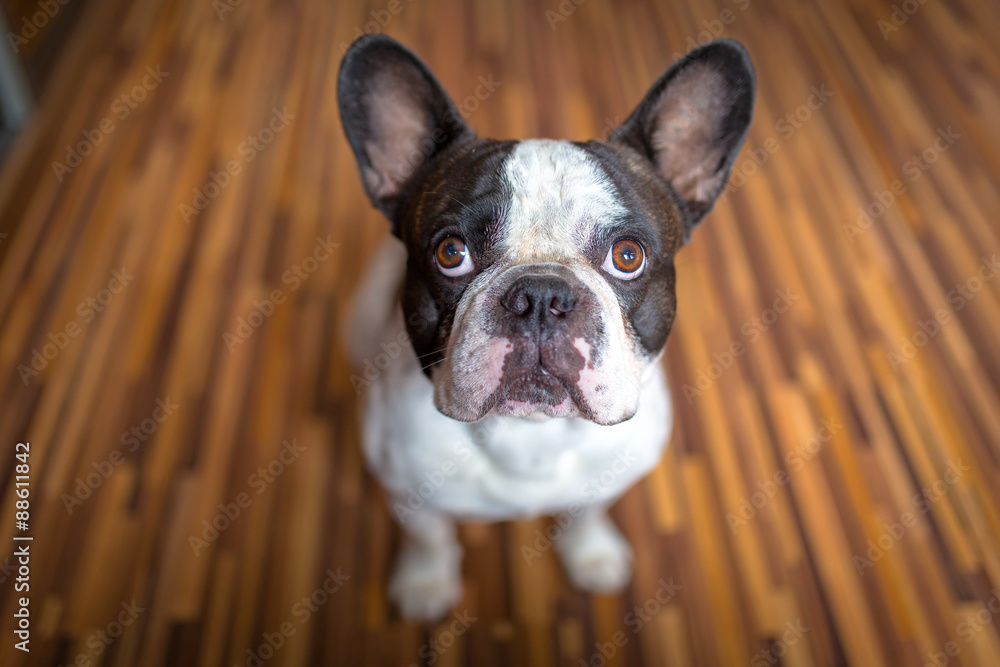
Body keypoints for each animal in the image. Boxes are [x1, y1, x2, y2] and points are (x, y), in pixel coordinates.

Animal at [340, 35, 752, 620]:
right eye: (451, 253)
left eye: (628, 256)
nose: (540, 295)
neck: (531, 435)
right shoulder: (406, 493)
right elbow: (429, 536)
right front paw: (425, 581)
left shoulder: (608, 480)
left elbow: (588, 512)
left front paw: (591, 553)